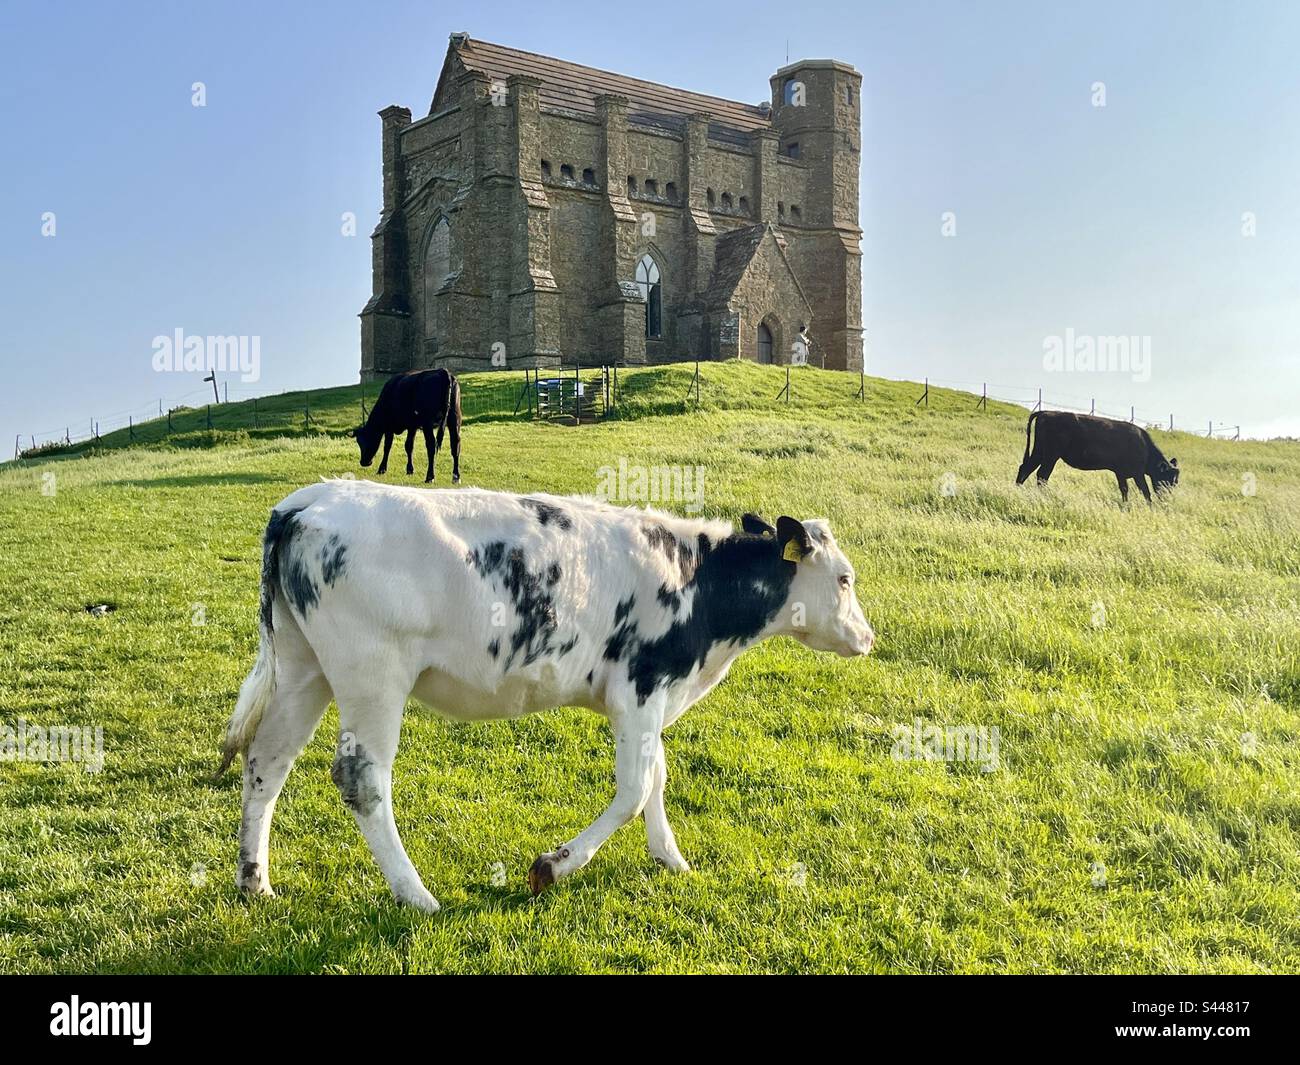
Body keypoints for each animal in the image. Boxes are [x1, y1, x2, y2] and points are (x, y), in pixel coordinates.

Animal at [220, 481, 873, 910]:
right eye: (844, 579)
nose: (867, 638)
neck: (697, 583)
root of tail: (308, 501)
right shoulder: (640, 684)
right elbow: (635, 788)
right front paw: (551, 868)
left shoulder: (653, 695)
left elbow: (657, 776)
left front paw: (670, 858)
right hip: (372, 675)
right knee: (362, 779)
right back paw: (415, 894)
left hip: (305, 668)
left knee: (267, 760)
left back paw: (255, 882)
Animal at [1013, 413, 1180, 504]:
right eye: (1167, 480)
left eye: (1175, 482)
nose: (1167, 498)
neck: (1143, 446)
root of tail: (1046, 412)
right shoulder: (1138, 474)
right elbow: (1145, 491)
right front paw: (1150, 507)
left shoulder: (1121, 473)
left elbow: (1124, 490)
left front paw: (1125, 505)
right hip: (1050, 456)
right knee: (1042, 475)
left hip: (1040, 452)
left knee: (1026, 468)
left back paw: (1017, 491)